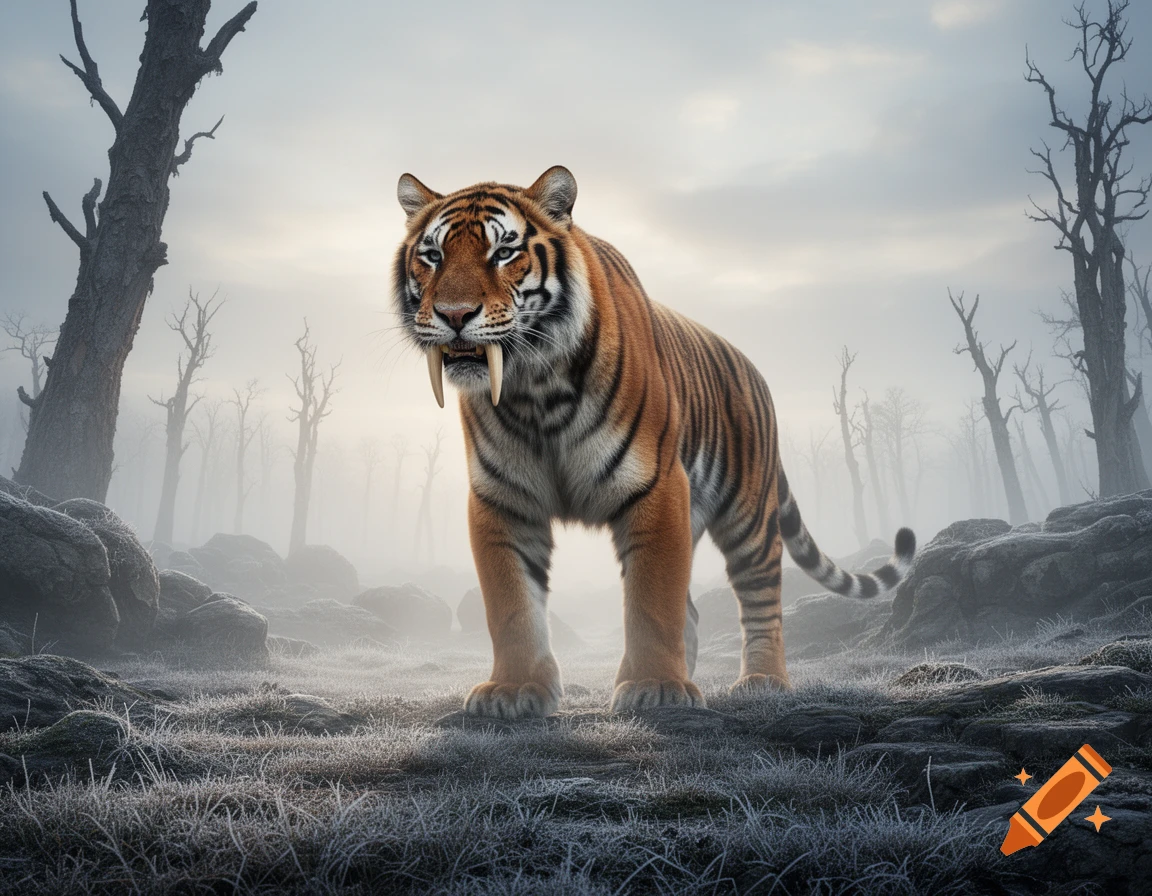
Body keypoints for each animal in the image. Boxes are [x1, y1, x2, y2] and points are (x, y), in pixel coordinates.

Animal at [393, 166, 916, 718]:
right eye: (433, 255)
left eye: (504, 252)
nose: (454, 315)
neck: (537, 389)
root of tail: (757, 372)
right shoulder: (503, 499)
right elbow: (511, 605)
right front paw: (514, 690)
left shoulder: (657, 488)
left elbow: (651, 601)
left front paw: (656, 687)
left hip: (749, 516)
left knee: (761, 601)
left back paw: (764, 681)